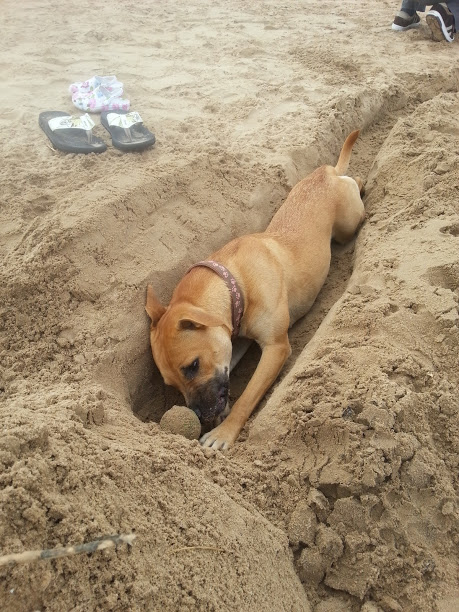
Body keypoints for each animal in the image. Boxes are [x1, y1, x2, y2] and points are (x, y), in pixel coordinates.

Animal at [147, 130, 366, 450]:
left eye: (193, 365)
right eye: (170, 383)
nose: (198, 416)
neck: (234, 283)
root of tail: (328, 172)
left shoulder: (276, 347)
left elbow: (247, 397)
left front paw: (222, 433)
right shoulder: (232, 340)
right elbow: (229, 369)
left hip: (348, 226)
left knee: (356, 192)